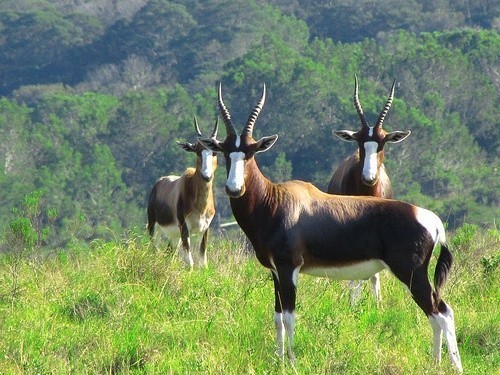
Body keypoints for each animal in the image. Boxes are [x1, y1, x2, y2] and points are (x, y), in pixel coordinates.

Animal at [147, 117, 220, 268]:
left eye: (214, 152)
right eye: (197, 151)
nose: (206, 176)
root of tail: (159, 182)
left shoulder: (205, 230)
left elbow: (203, 263)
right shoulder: (185, 228)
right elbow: (190, 263)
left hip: (174, 237)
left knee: (169, 253)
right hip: (154, 228)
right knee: (154, 251)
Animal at [328, 75, 410, 306]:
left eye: (382, 142)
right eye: (359, 141)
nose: (369, 177)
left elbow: (375, 273)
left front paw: (378, 305)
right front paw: (353, 304)